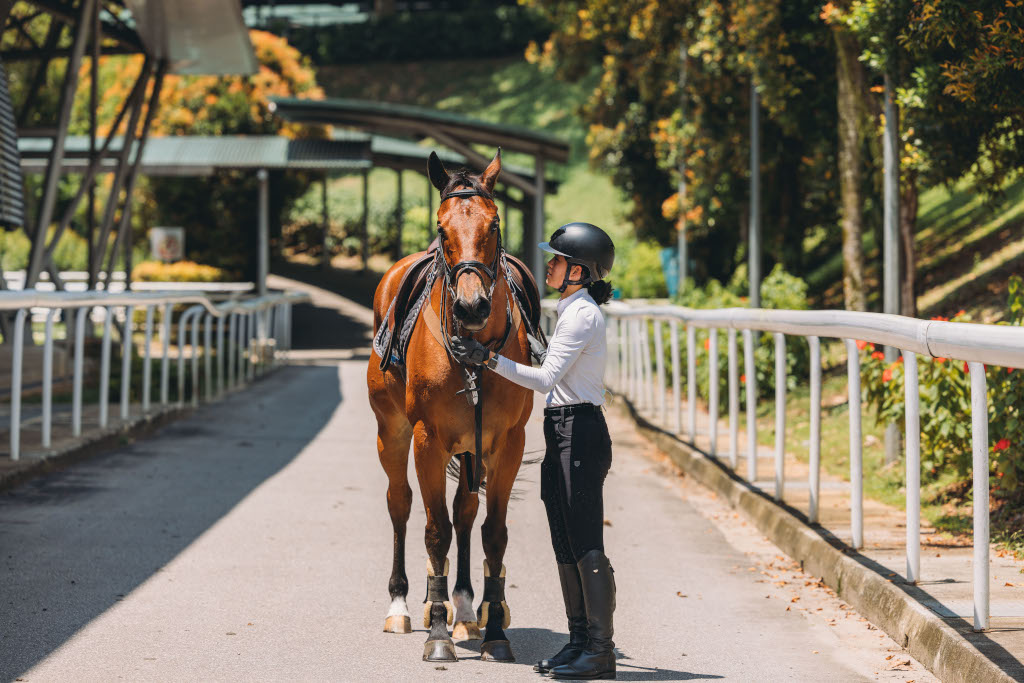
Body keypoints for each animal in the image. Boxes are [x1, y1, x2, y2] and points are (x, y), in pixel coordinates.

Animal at [372, 149, 540, 663]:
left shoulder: (505, 443)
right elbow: (435, 531)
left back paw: (465, 608)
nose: (471, 306)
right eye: (441, 227)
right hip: (392, 432)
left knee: (465, 511)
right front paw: (438, 634)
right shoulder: (427, 439)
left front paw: (494, 630)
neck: (473, 354)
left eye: (495, 222)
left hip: (471, 446)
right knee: (401, 503)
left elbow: (492, 532)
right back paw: (403, 605)